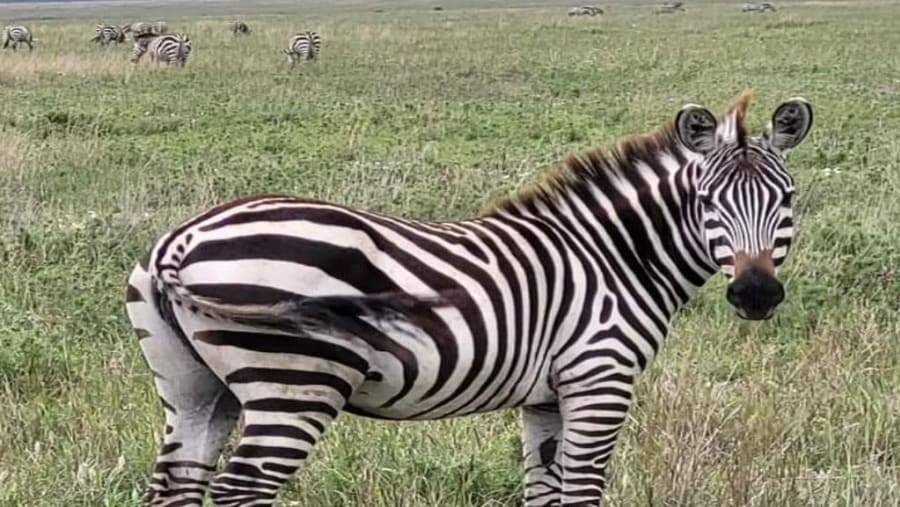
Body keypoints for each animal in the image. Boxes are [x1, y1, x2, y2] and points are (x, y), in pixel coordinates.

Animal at [125, 91, 813, 506]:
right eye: (706, 202)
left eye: (787, 199)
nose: (755, 293)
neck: (616, 256)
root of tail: (180, 242)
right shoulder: (601, 380)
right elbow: (581, 491)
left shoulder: (546, 396)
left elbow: (544, 491)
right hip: (293, 386)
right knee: (238, 491)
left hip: (192, 389)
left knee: (176, 484)